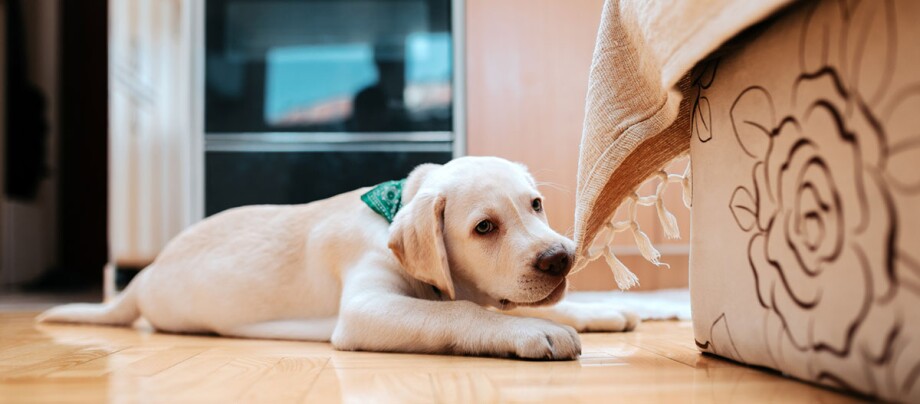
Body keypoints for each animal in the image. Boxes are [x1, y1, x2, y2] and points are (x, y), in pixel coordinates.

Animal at [39, 157, 636, 360]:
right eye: (484, 227)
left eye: (535, 205)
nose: (561, 259)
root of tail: (144, 276)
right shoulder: (367, 307)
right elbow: (460, 312)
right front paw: (532, 331)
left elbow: (535, 304)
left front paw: (601, 312)